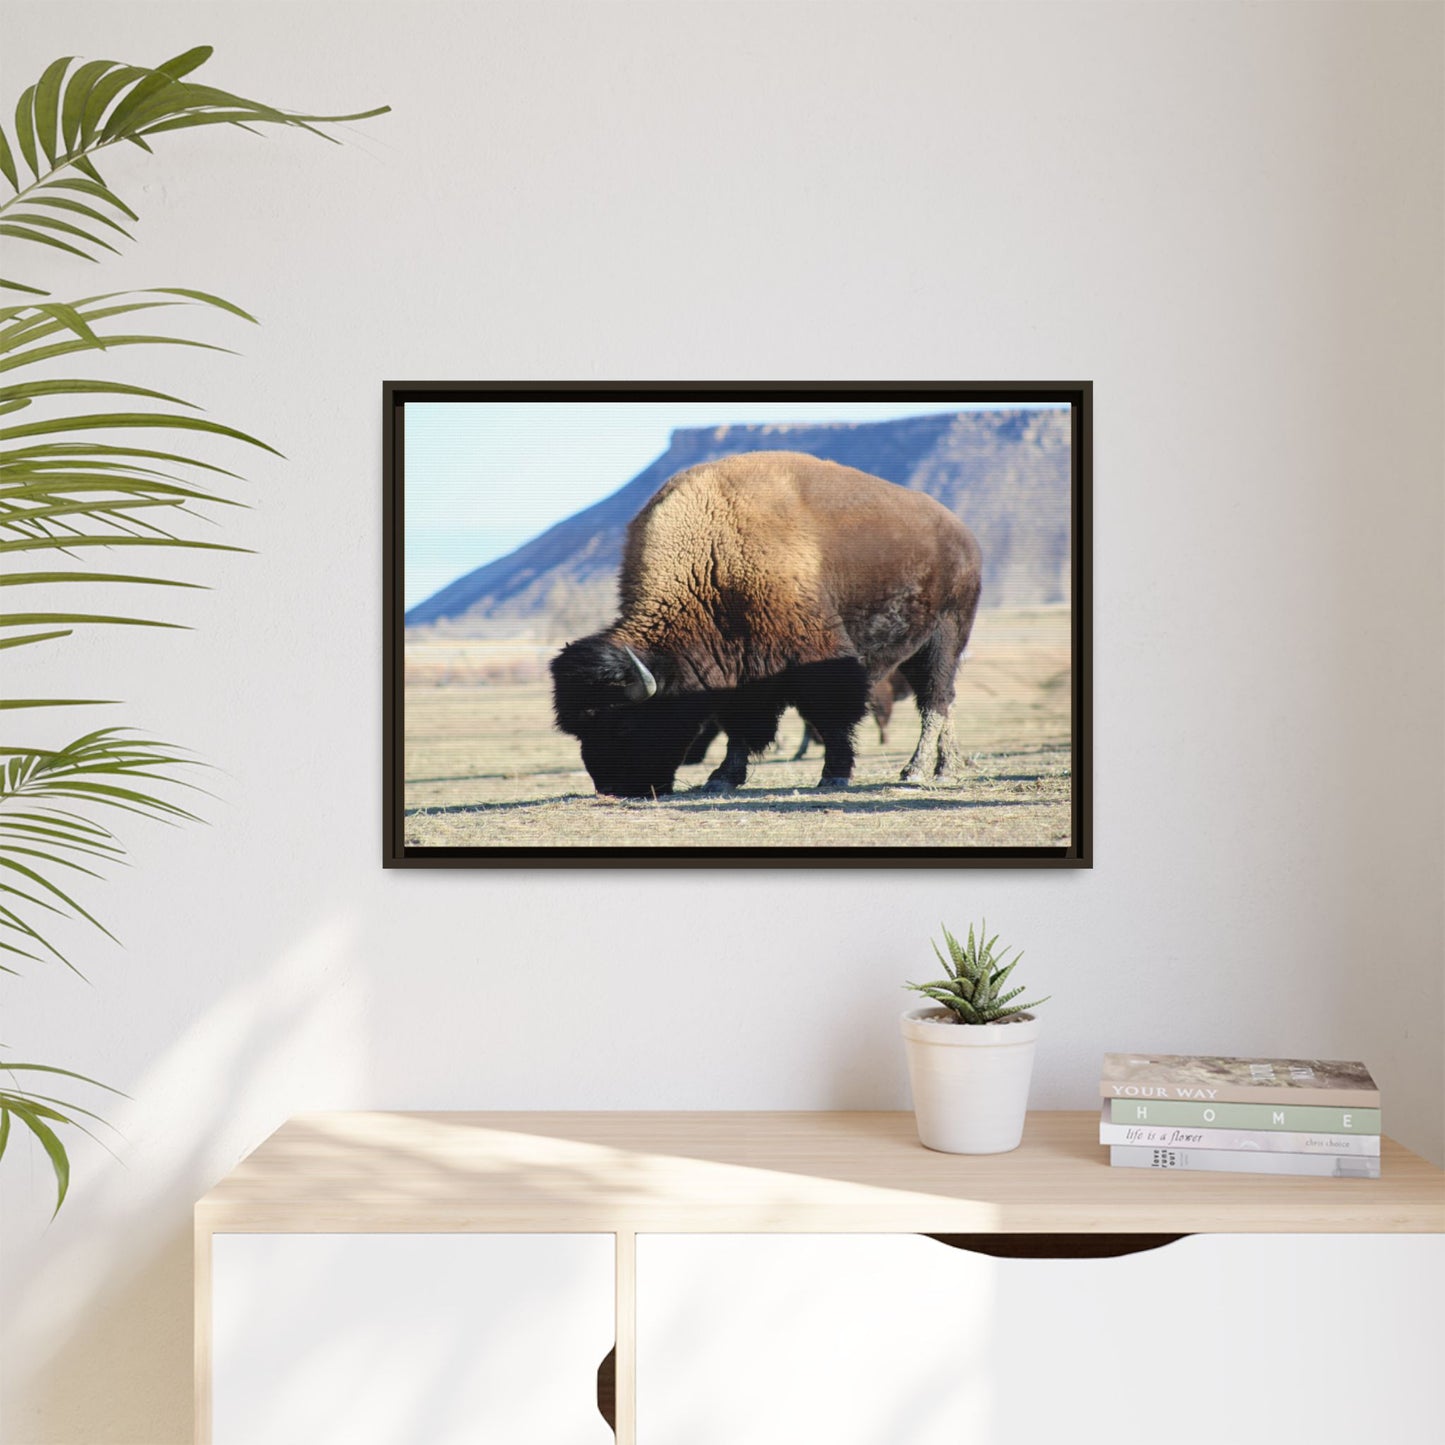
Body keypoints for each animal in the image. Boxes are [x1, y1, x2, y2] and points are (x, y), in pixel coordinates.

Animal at [550, 450, 982, 798]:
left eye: (622, 724)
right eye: (579, 730)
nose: (612, 787)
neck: (711, 560)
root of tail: (962, 534)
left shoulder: (818, 657)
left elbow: (832, 716)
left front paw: (834, 775)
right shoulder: (739, 671)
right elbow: (740, 727)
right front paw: (721, 778)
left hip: (945, 636)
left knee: (935, 699)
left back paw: (919, 771)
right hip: (918, 647)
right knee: (942, 701)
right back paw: (946, 767)